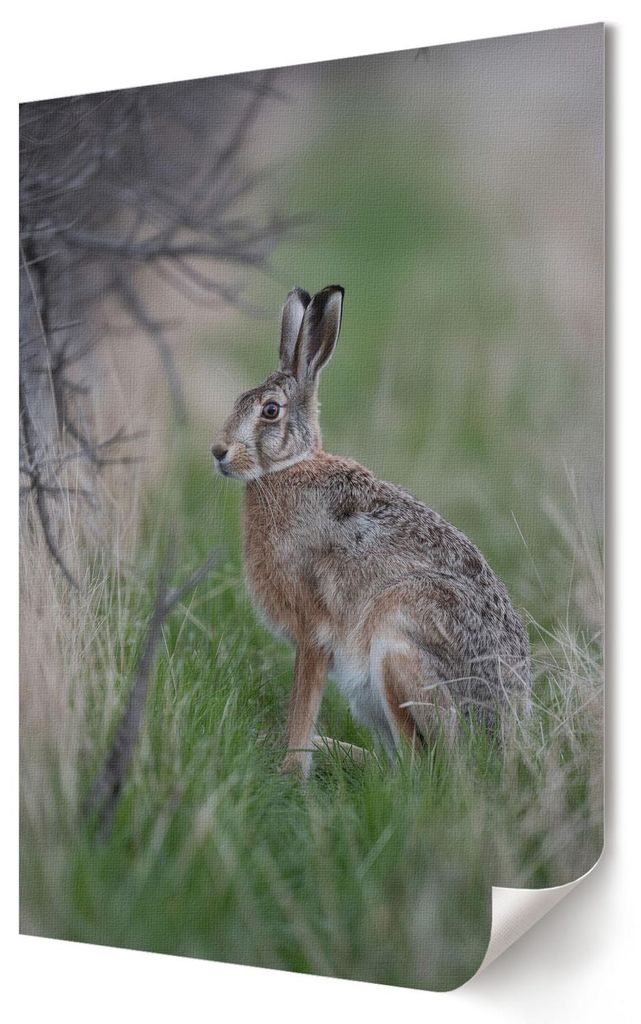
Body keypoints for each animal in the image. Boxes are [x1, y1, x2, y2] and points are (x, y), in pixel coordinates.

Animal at [212, 285, 531, 775]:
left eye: (270, 410)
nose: (219, 452)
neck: (288, 467)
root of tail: (499, 748)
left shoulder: (312, 632)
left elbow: (302, 704)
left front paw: (289, 770)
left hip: (397, 652)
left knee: (422, 771)